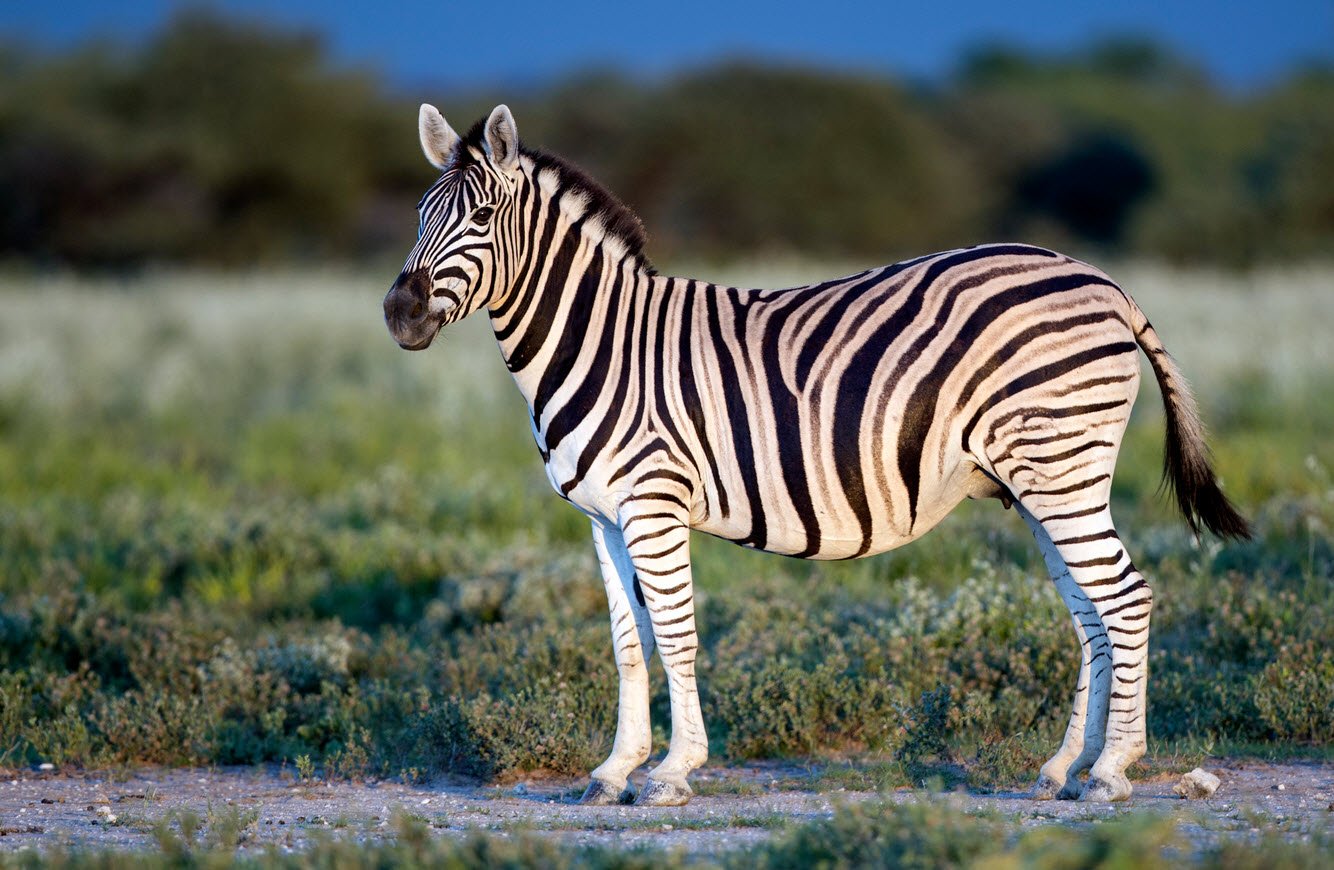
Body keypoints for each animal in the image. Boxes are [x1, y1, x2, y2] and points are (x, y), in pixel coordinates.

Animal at [384, 103, 1248, 811]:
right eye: (420, 214)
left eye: (480, 216)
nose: (398, 313)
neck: (601, 340)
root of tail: (1104, 282)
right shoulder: (602, 516)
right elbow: (629, 644)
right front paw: (613, 770)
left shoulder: (654, 502)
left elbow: (676, 634)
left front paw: (670, 773)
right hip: (1043, 481)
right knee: (1092, 614)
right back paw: (1066, 767)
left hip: (1061, 467)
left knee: (1125, 598)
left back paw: (1111, 772)